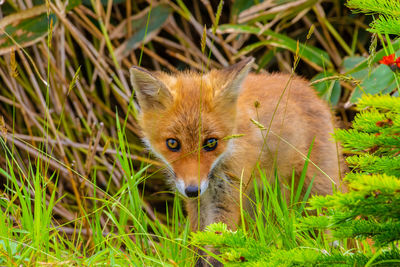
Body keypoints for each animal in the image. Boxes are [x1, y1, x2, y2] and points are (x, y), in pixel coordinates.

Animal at [130, 58, 344, 232]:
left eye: (211, 142)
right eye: (173, 143)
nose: (192, 190)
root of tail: (310, 89)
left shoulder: (228, 193)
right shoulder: (199, 202)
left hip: (319, 190)